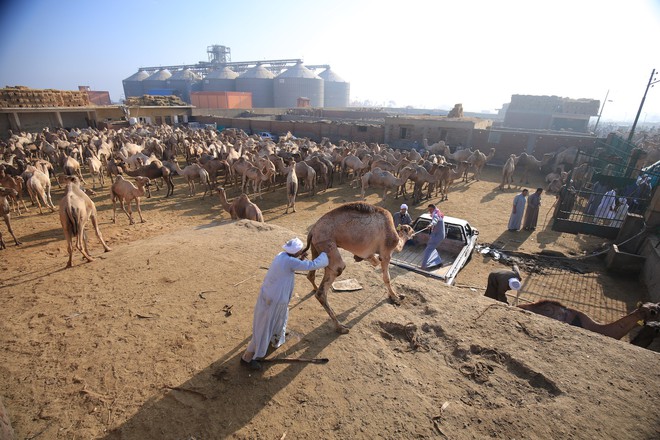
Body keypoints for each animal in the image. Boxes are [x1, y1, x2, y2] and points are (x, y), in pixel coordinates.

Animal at [302, 203, 416, 334]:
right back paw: (341, 327)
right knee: (331, 277)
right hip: (327, 244)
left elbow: (374, 261)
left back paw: (315, 289)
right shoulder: (386, 253)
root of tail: (312, 230)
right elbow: (386, 277)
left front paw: (360, 258)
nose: (414, 232)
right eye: (410, 229)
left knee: (311, 274)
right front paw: (395, 297)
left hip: (316, 247)